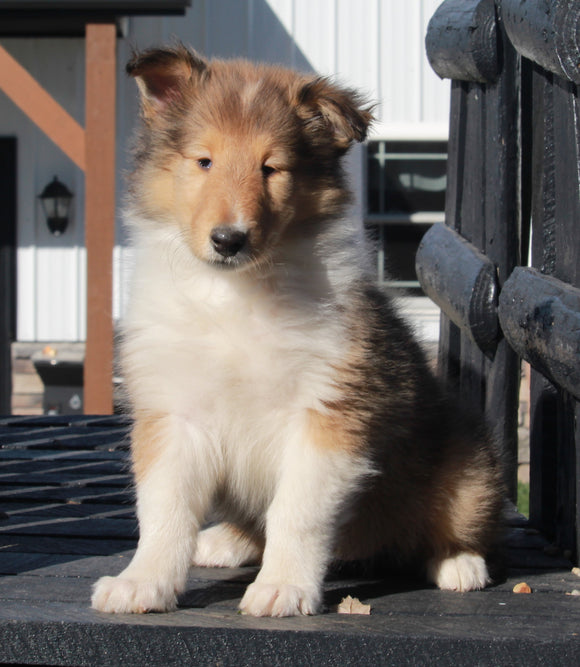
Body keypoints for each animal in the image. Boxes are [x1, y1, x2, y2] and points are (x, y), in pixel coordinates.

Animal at [92, 47, 502, 620]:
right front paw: (142, 583)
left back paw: (458, 564)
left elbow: (296, 512)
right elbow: (164, 510)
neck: (234, 293)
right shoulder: (175, 413)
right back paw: (224, 540)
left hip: (467, 467)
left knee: (453, 524)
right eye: (204, 161)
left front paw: (282, 588)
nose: (229, 240)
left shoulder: (328, 412)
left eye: (272, 168)